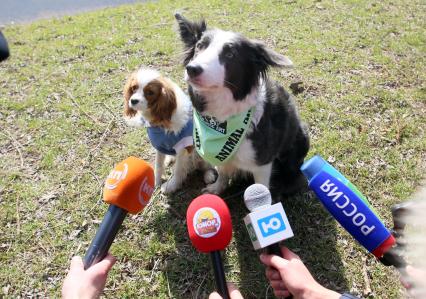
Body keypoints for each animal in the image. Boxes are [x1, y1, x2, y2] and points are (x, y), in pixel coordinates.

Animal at [175, 13, 308, 197]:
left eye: (230, 54)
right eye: (200, 46)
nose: (192, 69)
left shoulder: (262, 163)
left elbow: (262, 190)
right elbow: (222, 173)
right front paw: (217, 189)